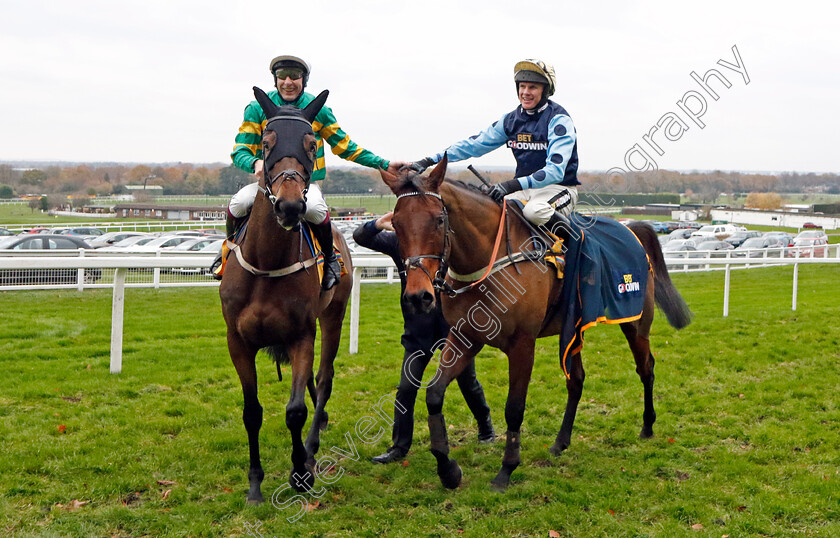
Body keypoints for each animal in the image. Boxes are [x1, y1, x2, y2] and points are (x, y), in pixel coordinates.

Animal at [220, 86, 352, 500]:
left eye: (311, 144)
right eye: (266, 141)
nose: (291, 206)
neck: (267, 263)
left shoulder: (301, 335)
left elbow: (295, 410)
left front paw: (300, 472)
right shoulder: (237, 340)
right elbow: (252, 411)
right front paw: (255, 483)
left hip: (334, 315)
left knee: (323, 380)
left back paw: (311, 446)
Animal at [380, 156, 688, 490]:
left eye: (438, 220)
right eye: (396, 223)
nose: (418, 296)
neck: (490, 261)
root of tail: (632, 230)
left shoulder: (522, 344)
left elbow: (514, 408)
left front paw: (506, 470)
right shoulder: (465, 337)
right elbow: (434, 394)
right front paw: (448, 469)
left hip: (635, 322)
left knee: (646, 368)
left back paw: (647, 426)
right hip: (573, 328)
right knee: (577, 380)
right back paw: (560, 442)